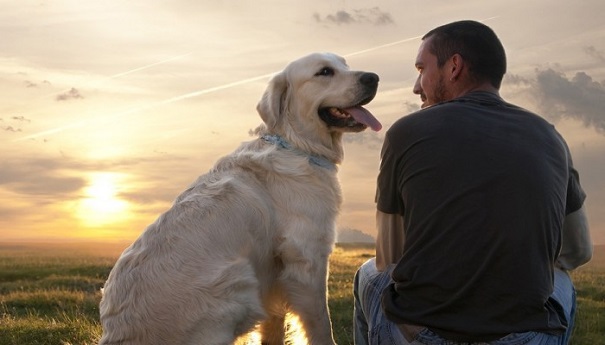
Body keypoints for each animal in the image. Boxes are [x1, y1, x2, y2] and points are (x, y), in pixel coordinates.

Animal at [101, 51, 380, 344]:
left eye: (345, 65)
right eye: (324, 72)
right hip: (239, 281)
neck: (296, 145)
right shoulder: (307, 258)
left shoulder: (275, 275)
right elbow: (320, 325)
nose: (373, 78)